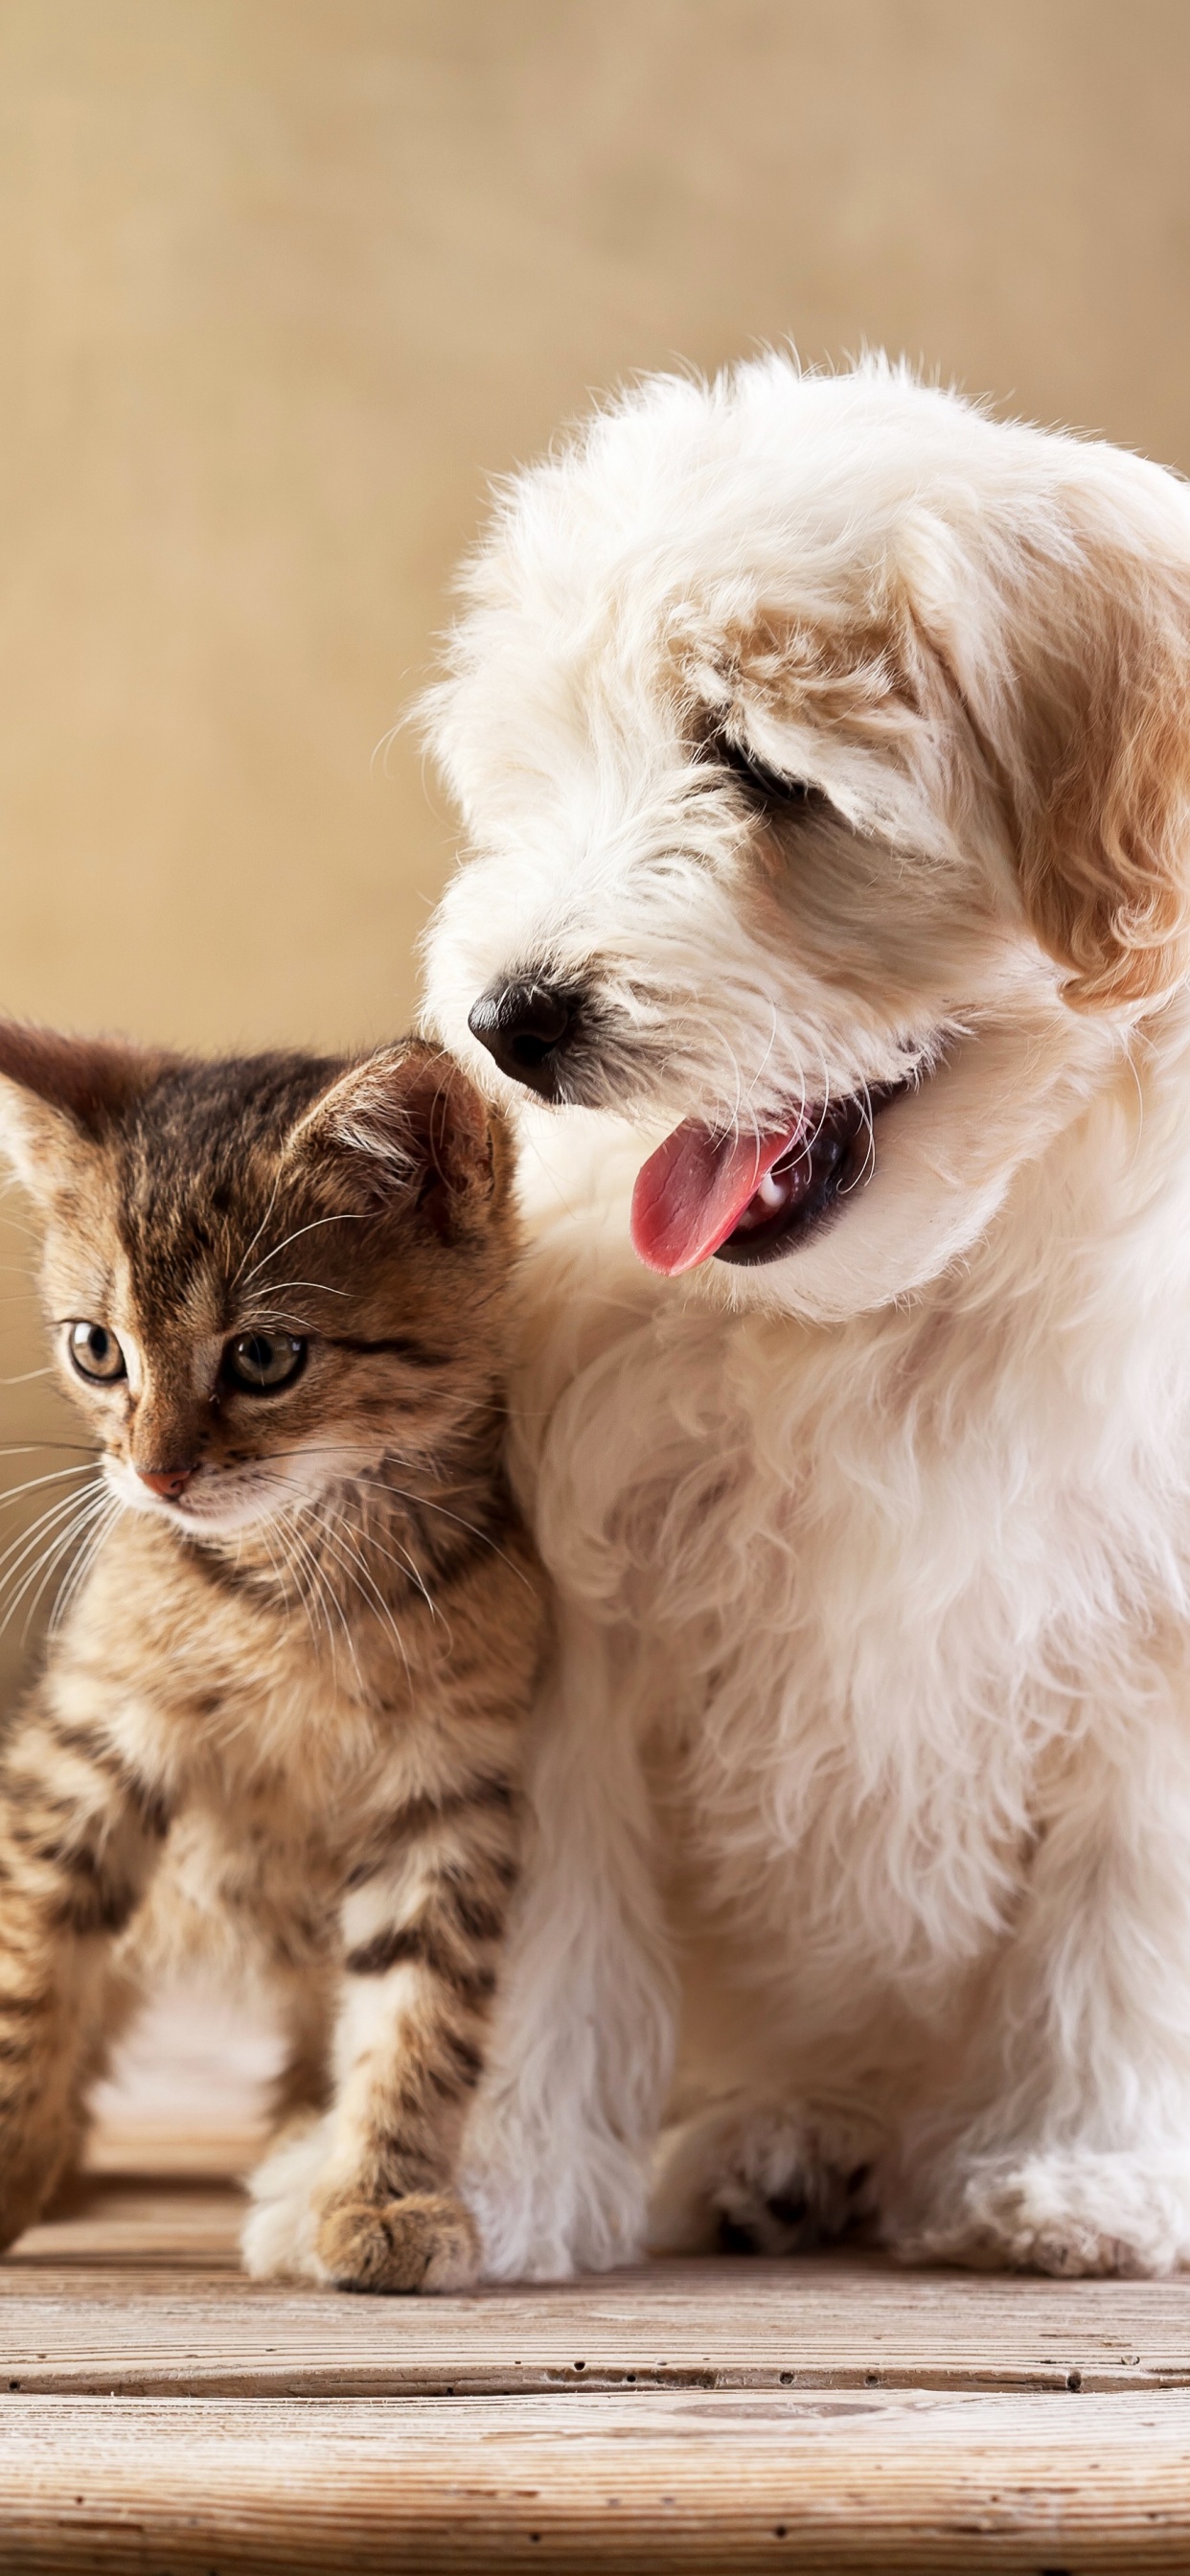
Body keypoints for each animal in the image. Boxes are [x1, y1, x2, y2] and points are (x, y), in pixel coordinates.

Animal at [0, 1024, 545, 2297]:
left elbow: (420, 2011)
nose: (156, 1475)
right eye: (96, 1350)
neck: (295, 1589)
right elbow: (31, 1970)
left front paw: (383, 2194)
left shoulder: (449, 1788)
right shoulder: (90, 1742)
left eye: (262, 1356)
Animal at [417, 353, 1190, 2287]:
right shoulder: (570, 1591)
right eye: (547, 767)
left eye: (760, 771)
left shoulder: (1154, 1613)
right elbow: (544, 1895)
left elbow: (1123, 1895)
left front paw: (1079, 2169)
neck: (894, 1311)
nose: (510, 1017)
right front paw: (480, 2176)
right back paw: (778, 2143)